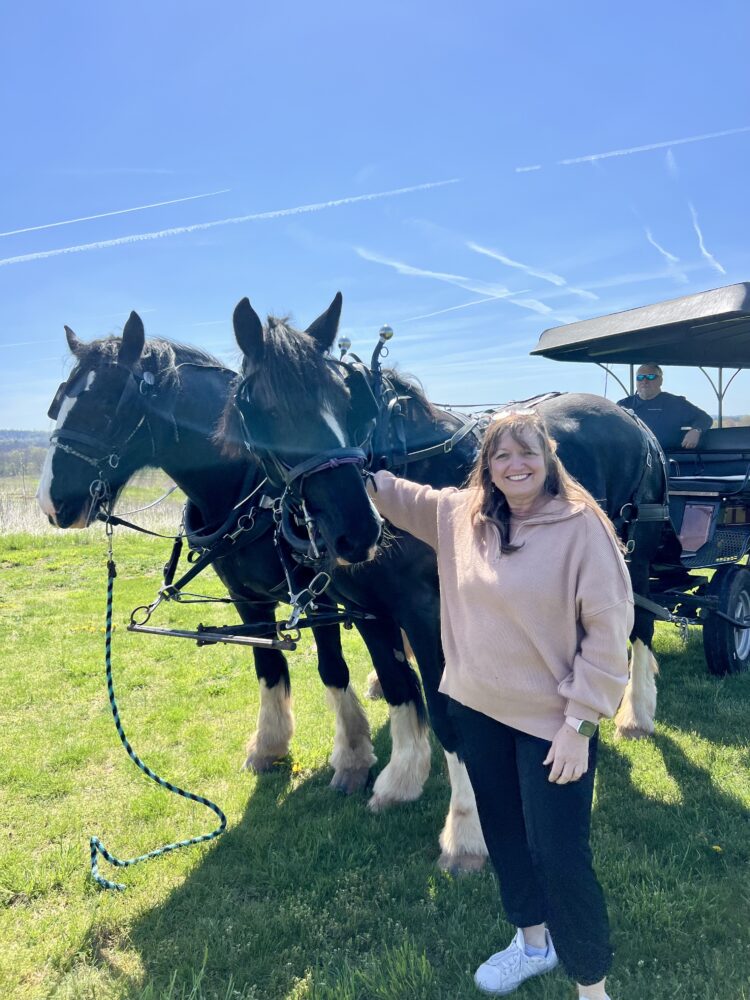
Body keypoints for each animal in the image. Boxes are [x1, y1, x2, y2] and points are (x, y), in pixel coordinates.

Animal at [35, 310, 444, 804]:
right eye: (58, 403)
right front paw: (269, 745)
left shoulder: (320, 597)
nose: (51, 501)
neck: (248, 488)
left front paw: (351, 757)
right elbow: (267, 666)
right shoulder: (247, 598)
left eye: (106, 406)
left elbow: (331, 668)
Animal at [223, 293, 668, 863]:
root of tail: (633, 419)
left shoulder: (425, 611)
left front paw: (467, 831)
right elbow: (399, 687)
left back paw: (635, 715)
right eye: (264, 412)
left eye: (343, 401)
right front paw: (400, 781)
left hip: (633, 560)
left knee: (640, 630)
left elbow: (449, 712)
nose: (357, 530)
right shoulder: (371, 611)